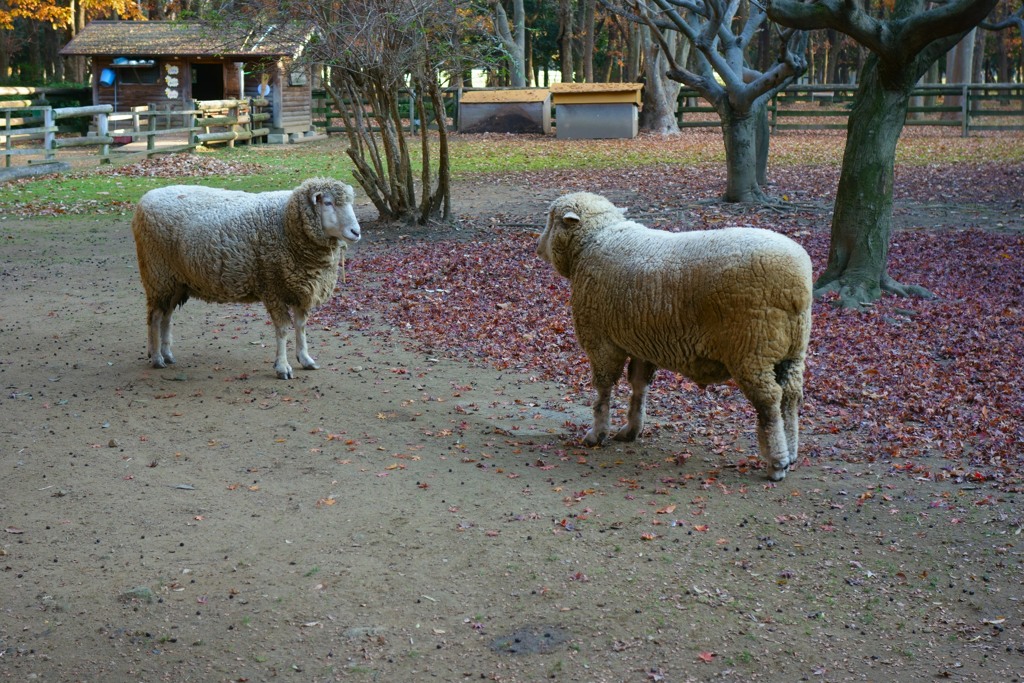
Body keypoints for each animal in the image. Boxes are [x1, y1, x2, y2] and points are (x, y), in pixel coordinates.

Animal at [129, 176, 360, 378]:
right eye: (328, 203)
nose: (356, 232)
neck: (285, 221)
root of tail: (145, 198)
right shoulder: (273, 287)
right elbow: (283, 329)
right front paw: (282, 367)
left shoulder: (299, 287)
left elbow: (301, 326)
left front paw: (305, 359)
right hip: (157, 274)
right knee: (155, 317)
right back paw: (157, 358)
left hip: (176, 281)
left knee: (166, 316)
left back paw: (167, 354)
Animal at [536, 191, 815, 481]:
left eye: (551, 219)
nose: (537, 245)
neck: (595, 240)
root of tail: (797, 288)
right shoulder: (641, 341)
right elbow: (639, 386)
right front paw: (631, 429)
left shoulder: (601, 341)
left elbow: (603, 391)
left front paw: (597, 433)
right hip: (791, 350)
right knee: (790, 396)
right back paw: (791, 452)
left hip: (752, 349)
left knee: (769, 402)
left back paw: (777, 463)